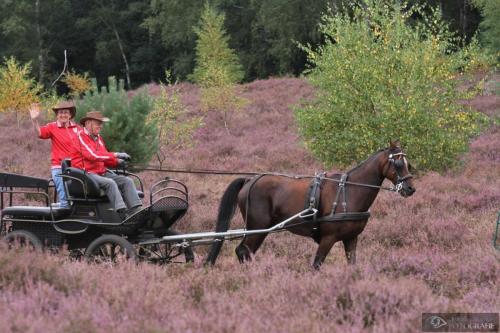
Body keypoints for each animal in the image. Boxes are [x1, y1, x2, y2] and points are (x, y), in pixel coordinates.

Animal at [205, 140, 416, 268]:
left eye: (408, 163)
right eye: (398, 163)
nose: (410, 188)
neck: (349, 192)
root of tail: (251, 180)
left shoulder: (351, 238)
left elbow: (352, 265)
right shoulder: (328, 239)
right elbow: (316, 265)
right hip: (257, 227)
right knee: (243, 251)